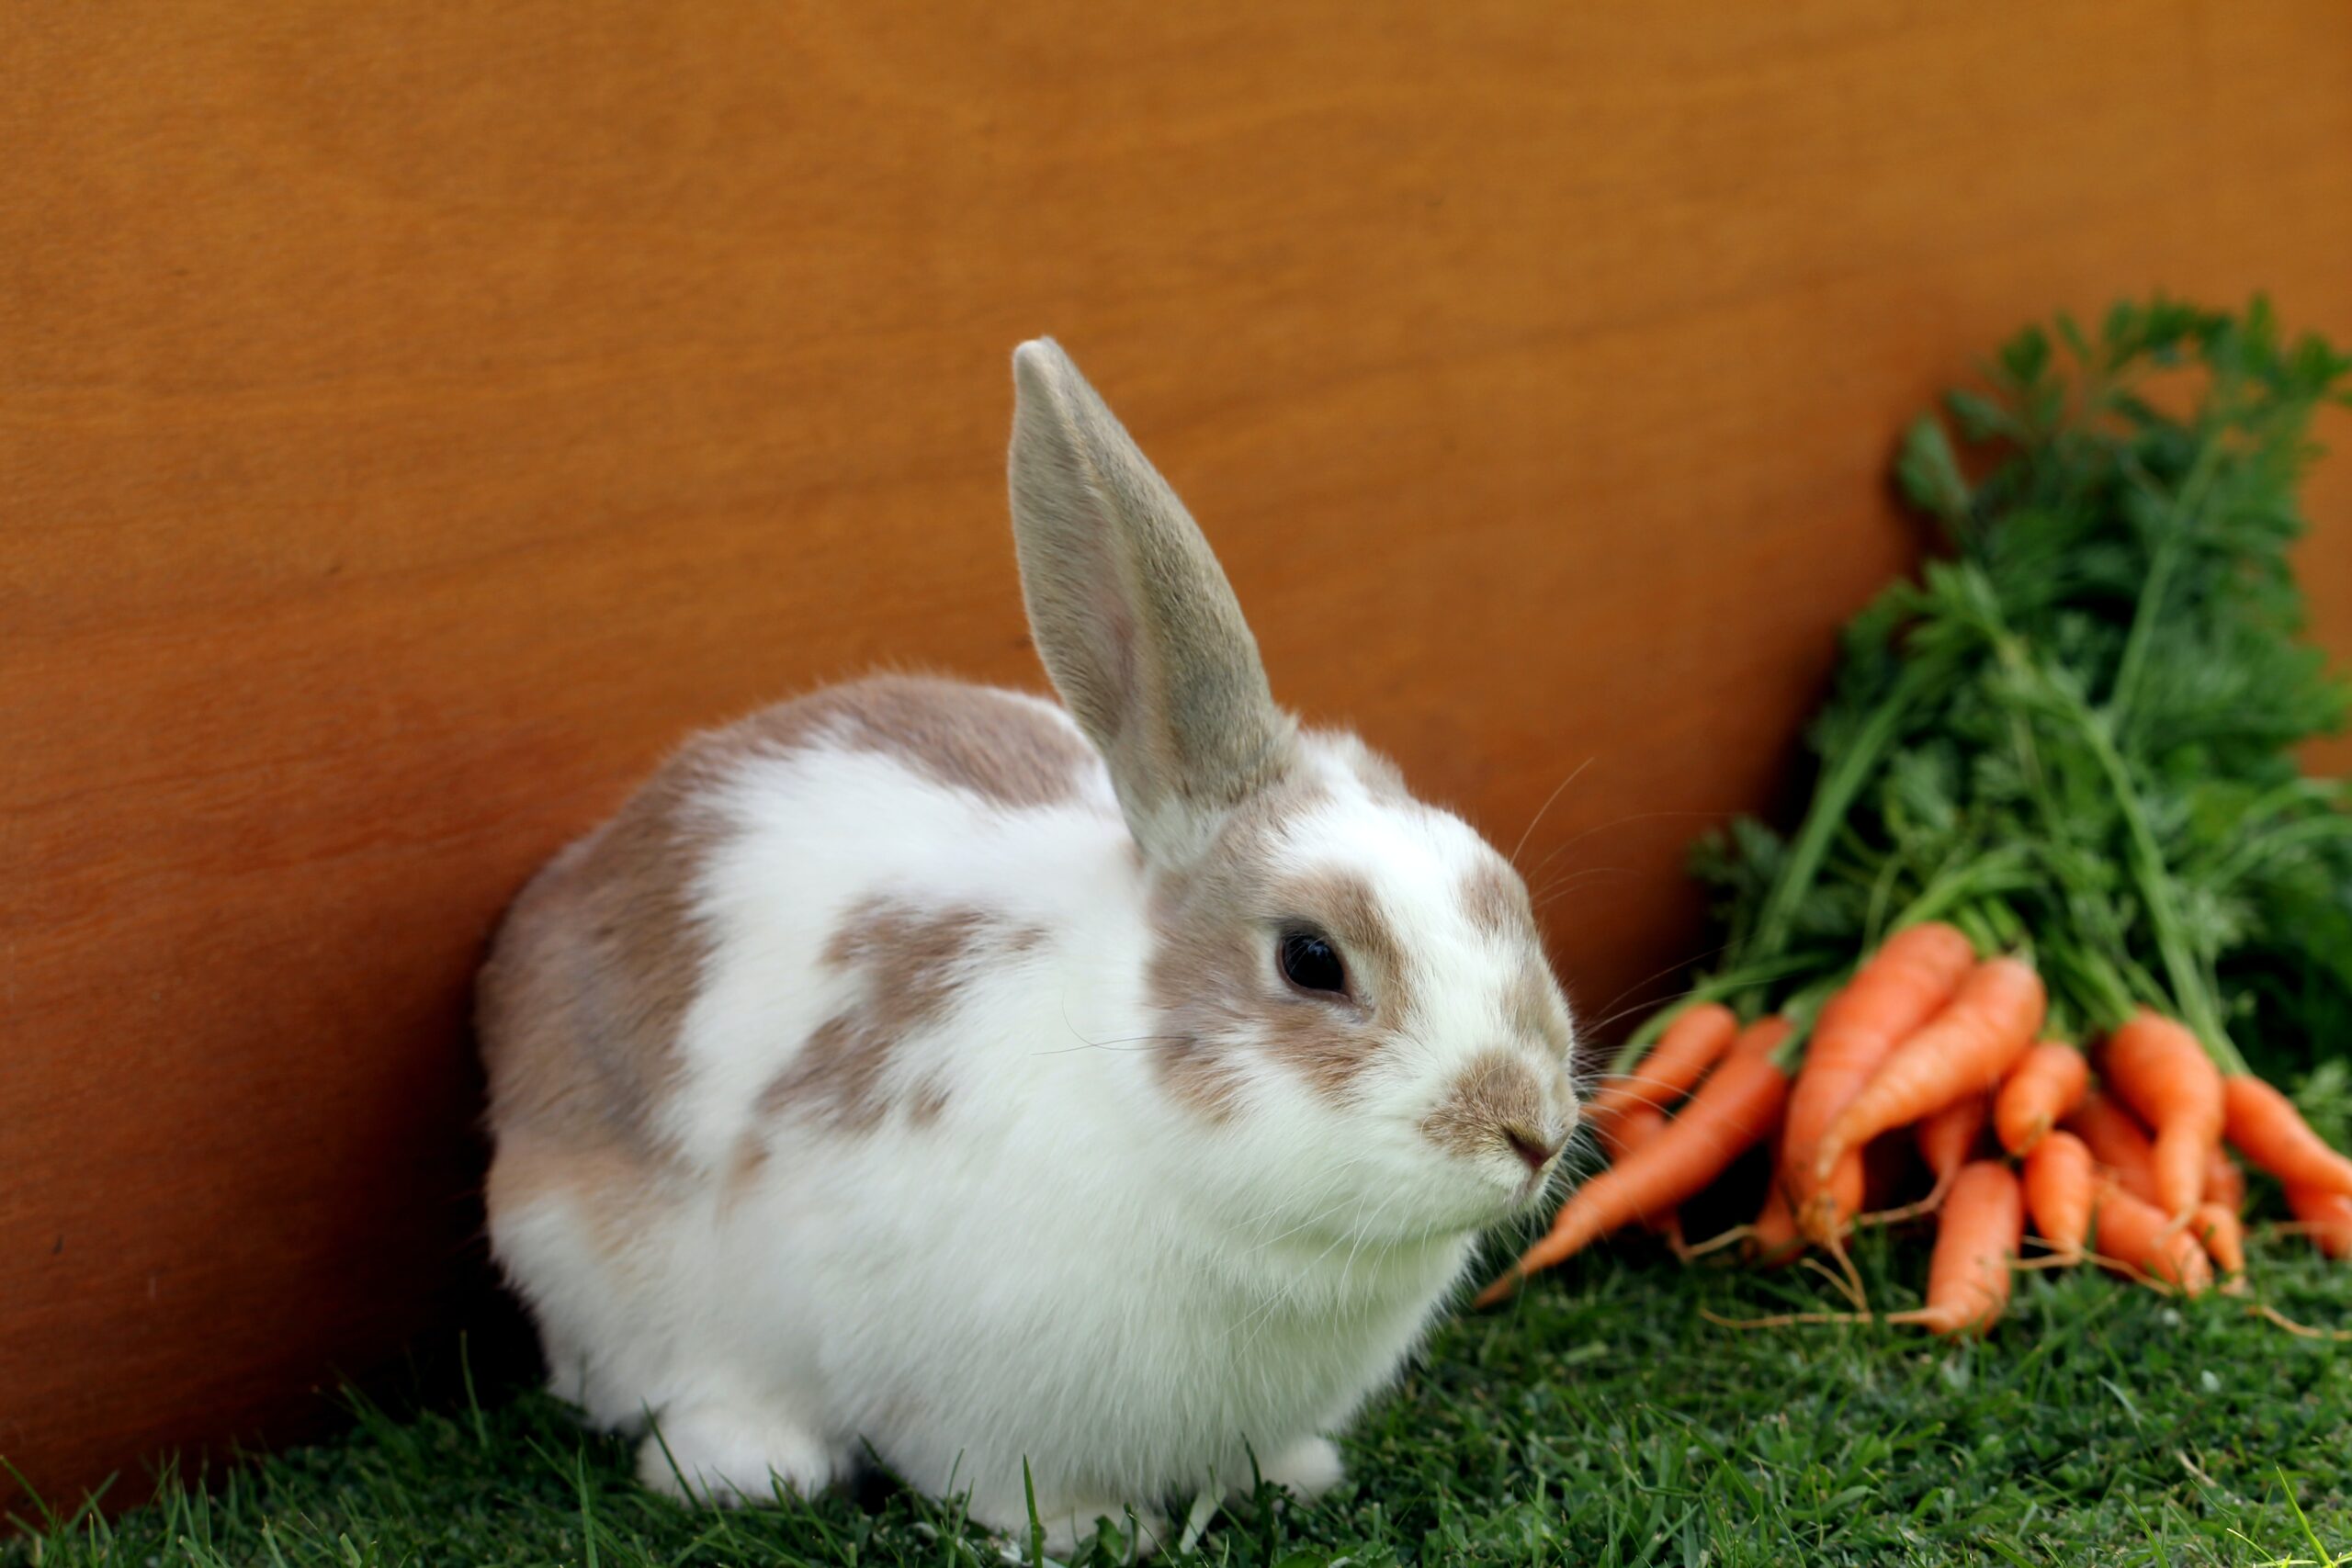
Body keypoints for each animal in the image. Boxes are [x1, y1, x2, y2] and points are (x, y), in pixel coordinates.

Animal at [475, 338, 1580, 1551]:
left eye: (1502, 889)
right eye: (1310, 960)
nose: (1532, 1131)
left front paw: (1295, 1474)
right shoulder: (950, 1388)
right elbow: (1000, 1477)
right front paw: (1091, 1532)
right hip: (588, 1259)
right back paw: (750, 1463)